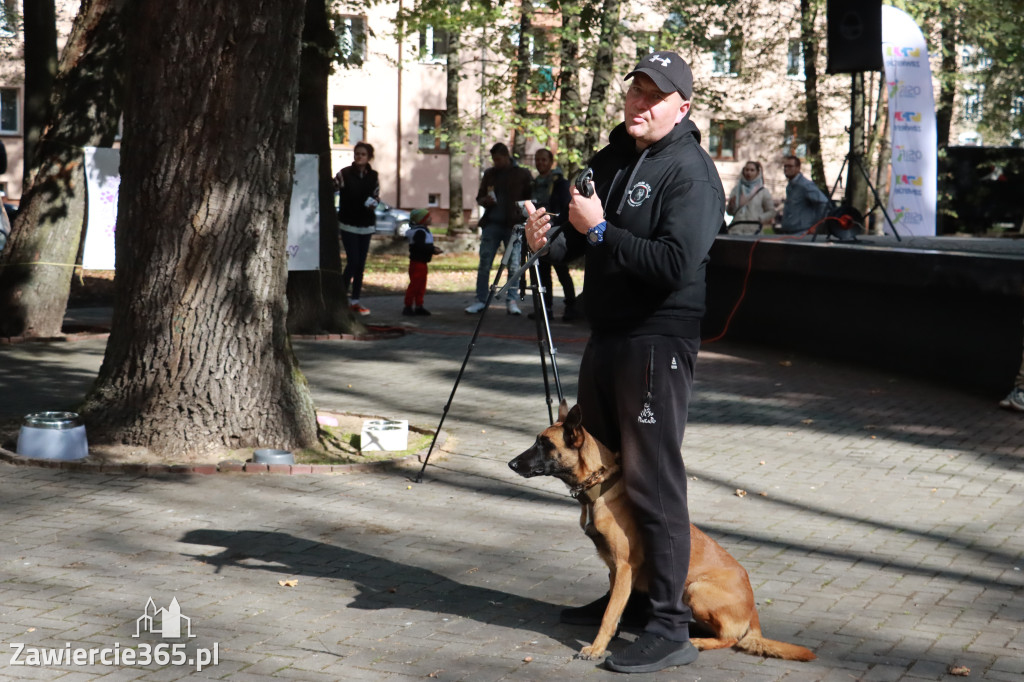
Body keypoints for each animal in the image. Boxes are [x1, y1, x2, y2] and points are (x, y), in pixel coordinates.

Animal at [505, 401, 815, 659]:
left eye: (544, 444)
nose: (511, 463)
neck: (601, 486)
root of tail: (753, 612)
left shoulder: (624, 568)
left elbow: (609, 615)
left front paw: (595, 648)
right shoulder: (615, 571)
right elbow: (613, 610)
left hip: (695, 589)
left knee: (730, 638)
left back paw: (699, 641)